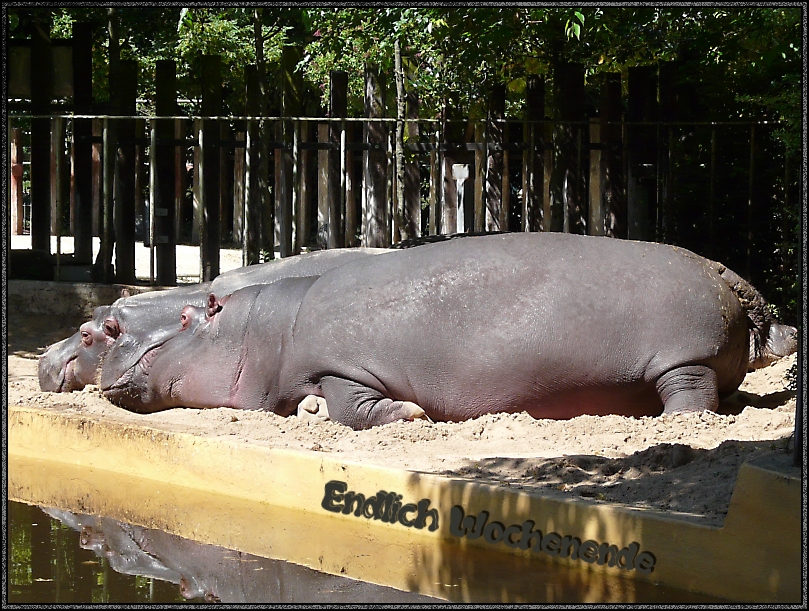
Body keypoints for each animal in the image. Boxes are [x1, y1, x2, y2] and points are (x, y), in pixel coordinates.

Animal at [99, 234, 796, 430]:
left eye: (184, 318)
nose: (110, 360)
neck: (262, 328)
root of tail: (726, 274)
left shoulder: (344, 367)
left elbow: (353, 408)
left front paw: (409, 414)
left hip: (682, 357)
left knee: (694, 393)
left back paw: (669, 423)